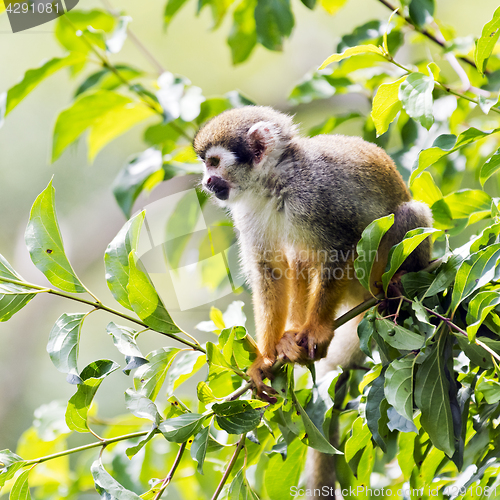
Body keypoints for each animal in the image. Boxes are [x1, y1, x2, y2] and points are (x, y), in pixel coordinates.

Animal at [193, 107, 432, 396]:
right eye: (207, 164)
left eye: (214, 162)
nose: (206, 181)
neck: (273, 185)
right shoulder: (248, 212)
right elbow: (270, 271)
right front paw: (266, 358)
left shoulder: (317, 193)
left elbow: (344, 245)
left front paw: (317, 329)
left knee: (407, 214)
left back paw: (399, 280)